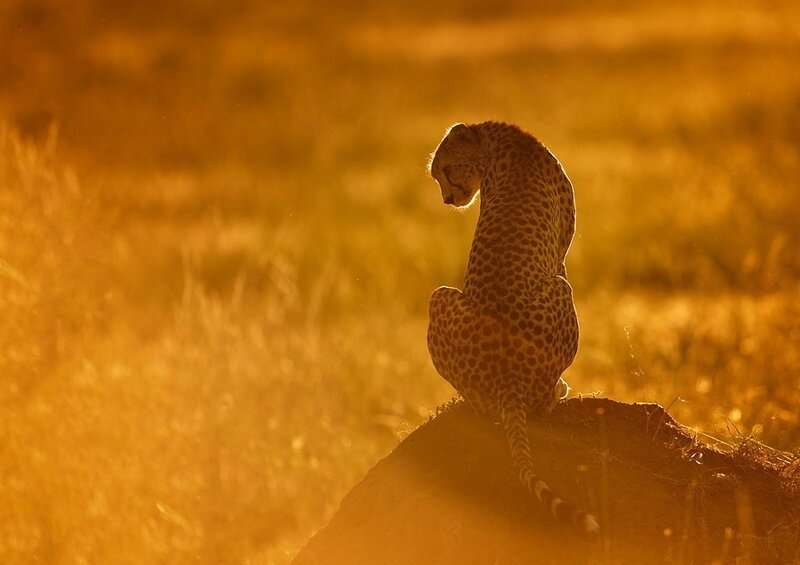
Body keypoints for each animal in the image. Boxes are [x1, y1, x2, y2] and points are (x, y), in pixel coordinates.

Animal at [426, 121, 599, 536]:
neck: (493, 139)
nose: (447, 199)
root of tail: (508, 379)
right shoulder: (561, 256)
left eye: (447, 170)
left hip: (439, 298)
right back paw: (560, 391)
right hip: (560, 290)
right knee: (540, 404)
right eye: (438, 175)